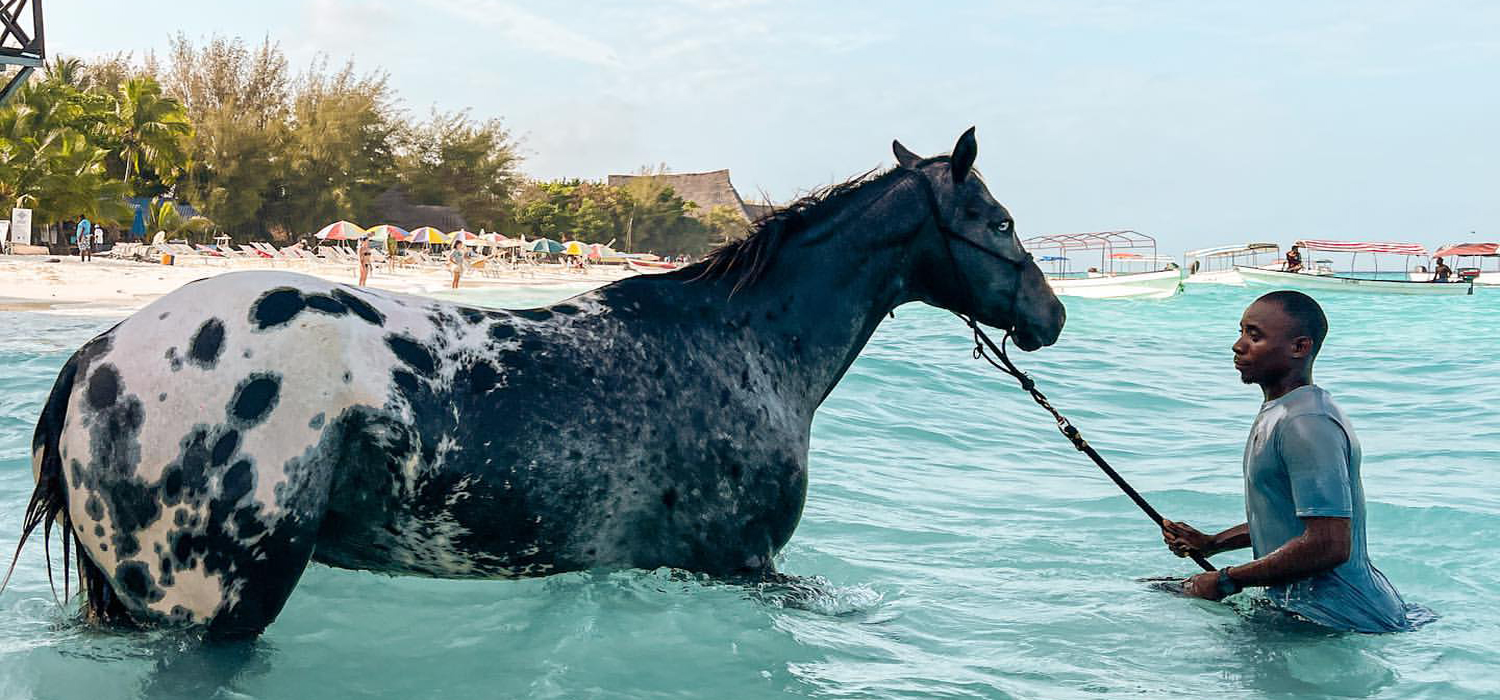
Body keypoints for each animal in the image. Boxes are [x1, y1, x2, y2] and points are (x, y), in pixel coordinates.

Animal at [11, 128, 1068, 638]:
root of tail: (97, 353)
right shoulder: (747, 565)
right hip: (221, 605)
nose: (1051, 315)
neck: (747, 344)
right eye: (1003, 221)